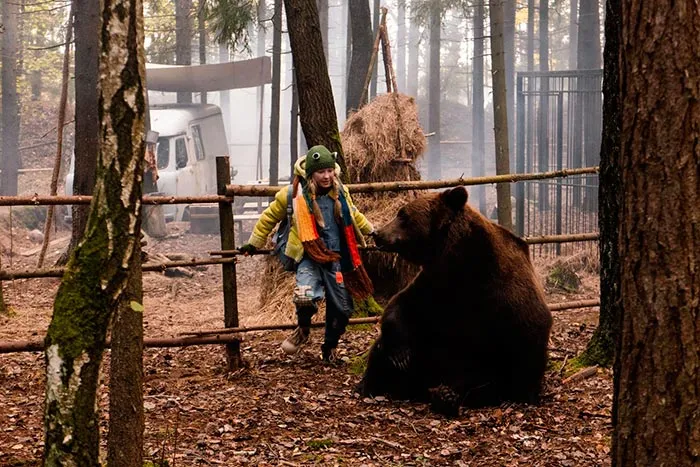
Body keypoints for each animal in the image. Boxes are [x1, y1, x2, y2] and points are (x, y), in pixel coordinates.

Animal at [357, 186, 553, 415]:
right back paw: (373, 385)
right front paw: (399, 356)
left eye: (403, 214)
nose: (378, 234)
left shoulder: (501, 294)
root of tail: (420, 387)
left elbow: (527, 338)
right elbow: (400, 307)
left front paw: (527, 394)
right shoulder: (436, 286)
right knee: (383, 351)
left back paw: (447, 395)